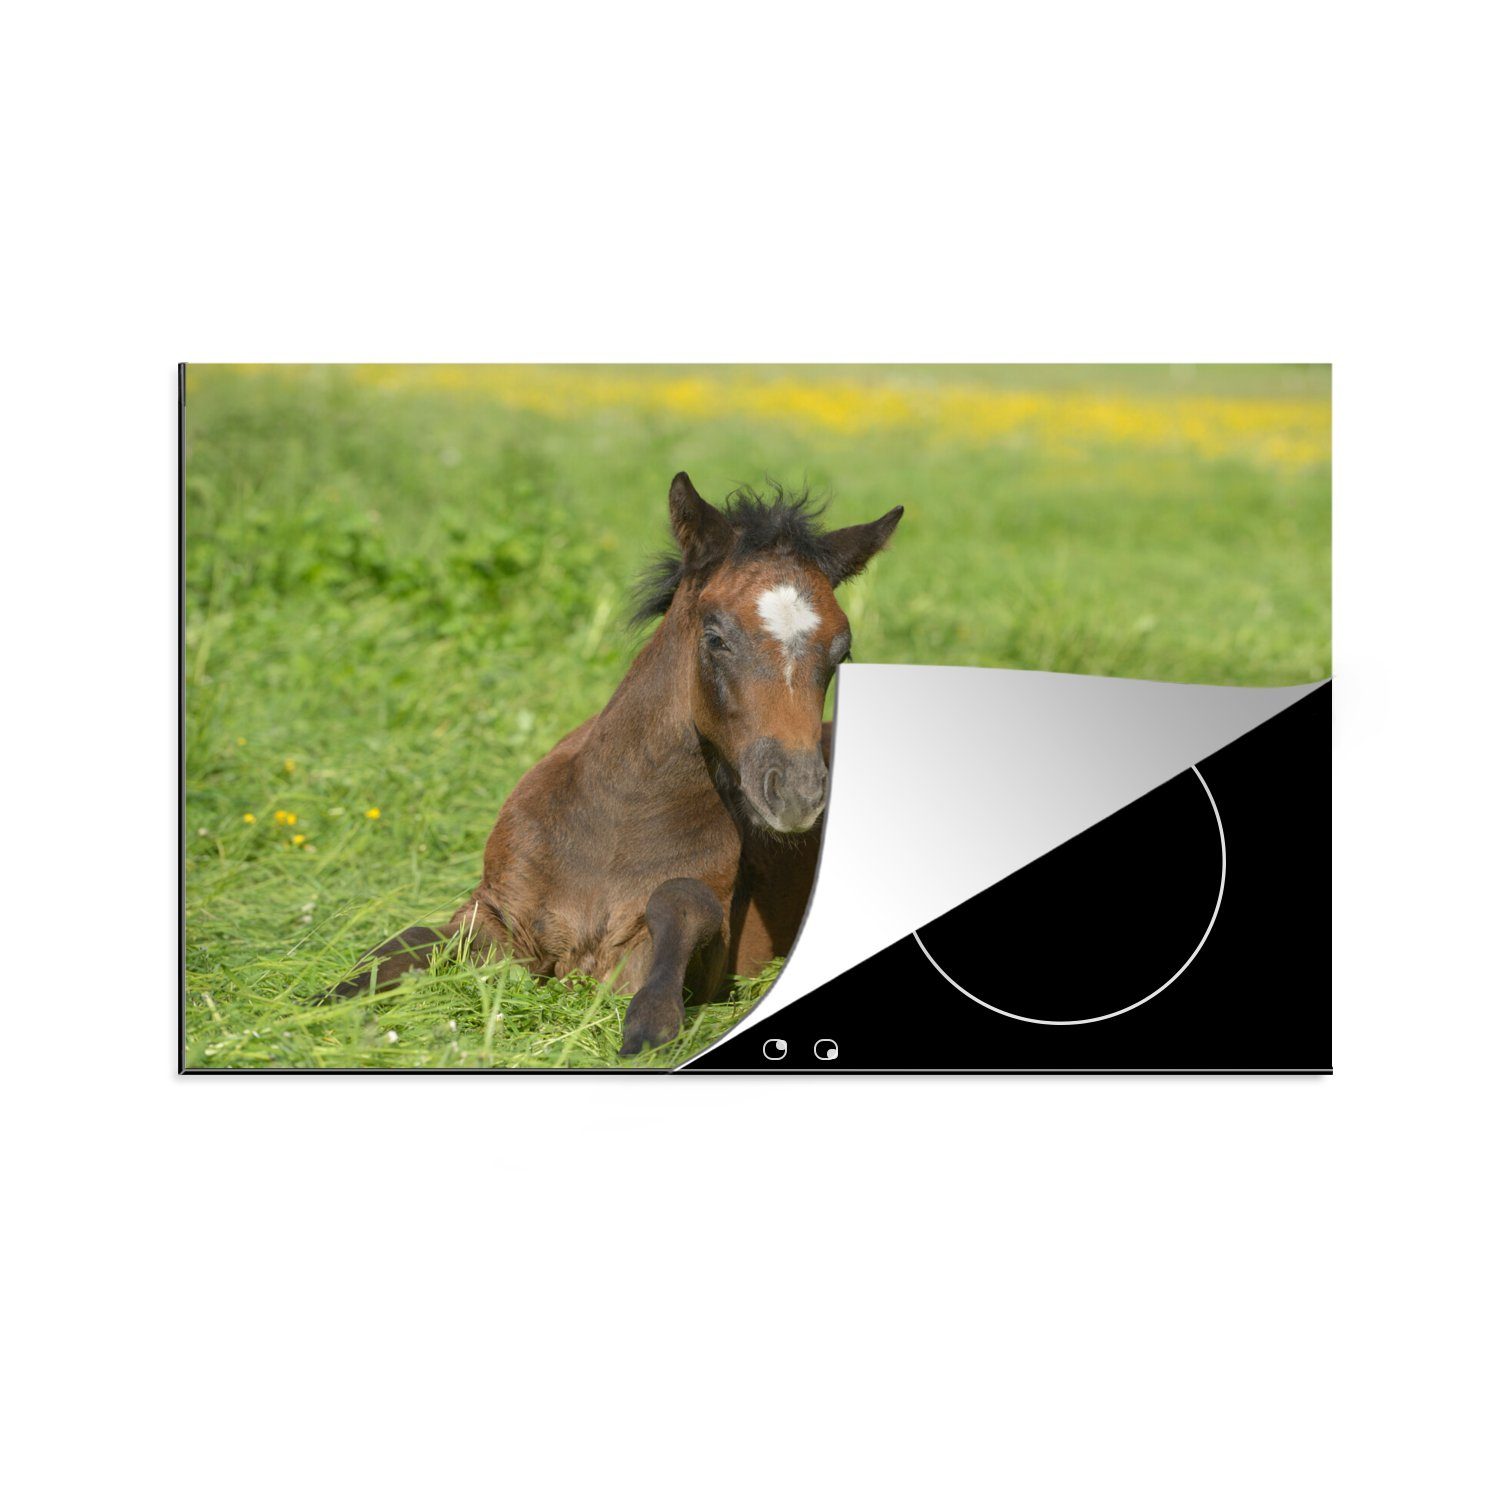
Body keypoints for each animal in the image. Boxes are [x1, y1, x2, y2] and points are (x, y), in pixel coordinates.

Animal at [327, 472, 903, 1055]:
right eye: (715, 638)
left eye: (841, 653)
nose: (797, 794)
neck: (617, 821)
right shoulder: (496, 914)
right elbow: (408, 942)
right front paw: (321, 1003)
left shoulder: (669, 960)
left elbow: (682, 898)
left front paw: (650, 1025)